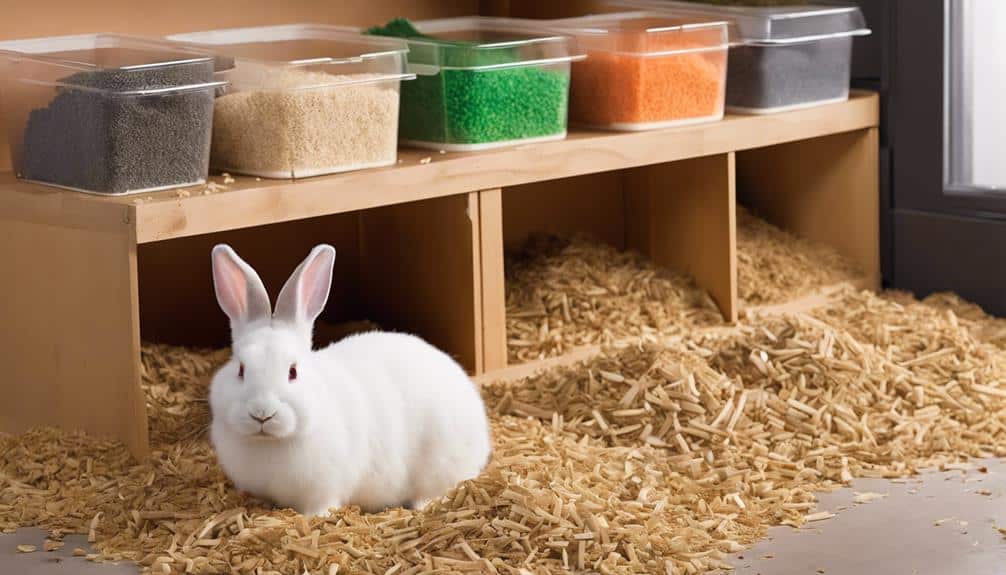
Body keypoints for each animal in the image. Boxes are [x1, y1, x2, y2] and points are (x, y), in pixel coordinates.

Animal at [207, 243, 492, 517]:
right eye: (241, 369)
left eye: (293, 372)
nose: (262, 413)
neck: (271, 443)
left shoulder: (323, 487)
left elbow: (320, 507)